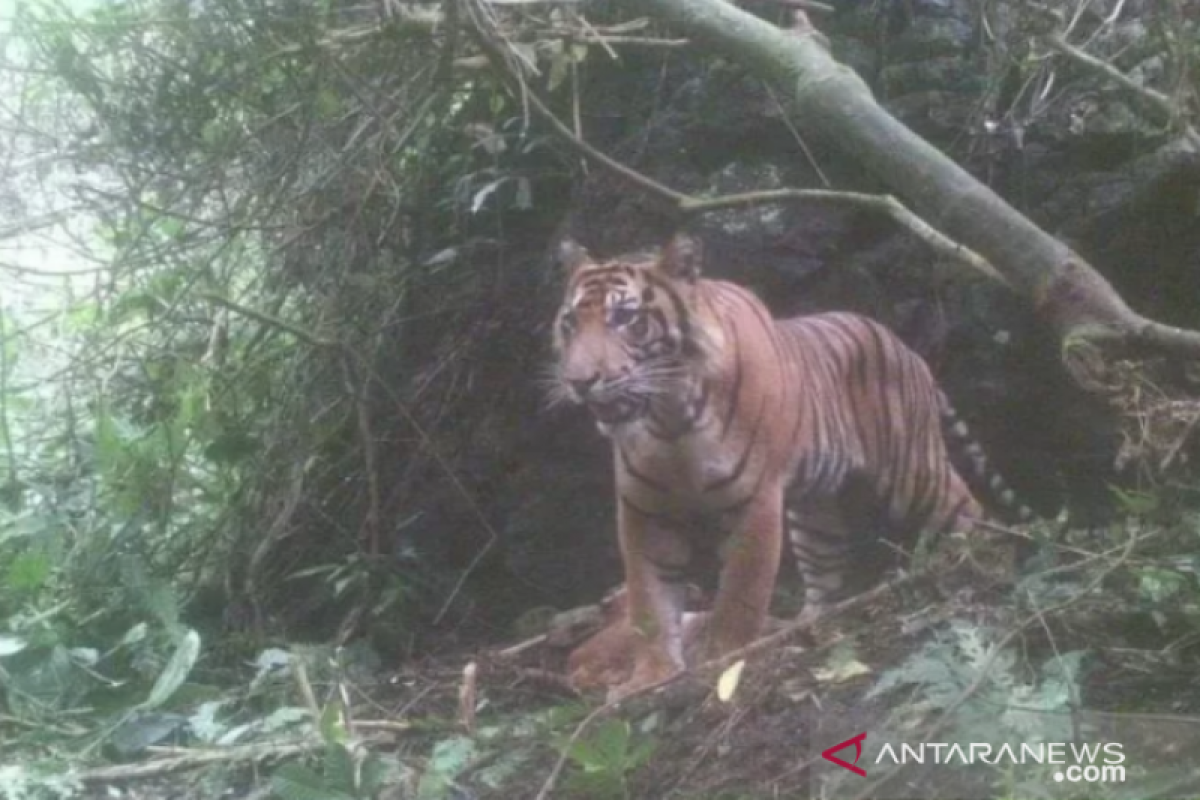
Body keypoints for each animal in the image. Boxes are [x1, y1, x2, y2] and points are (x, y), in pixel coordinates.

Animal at [552, 231, 1032, 700]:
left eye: (624, 318)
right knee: (825, 576)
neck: (670, 419)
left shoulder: (755, 499)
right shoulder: (644, 509)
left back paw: (983, 565)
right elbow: (648, 601)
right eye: (570, 323)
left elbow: (740, 593)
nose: (580, 381)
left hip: (912, 473)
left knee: (968, 510)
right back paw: (809, 630)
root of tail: (909, 350)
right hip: (817, 513)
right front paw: (650, 678)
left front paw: (722, 662)